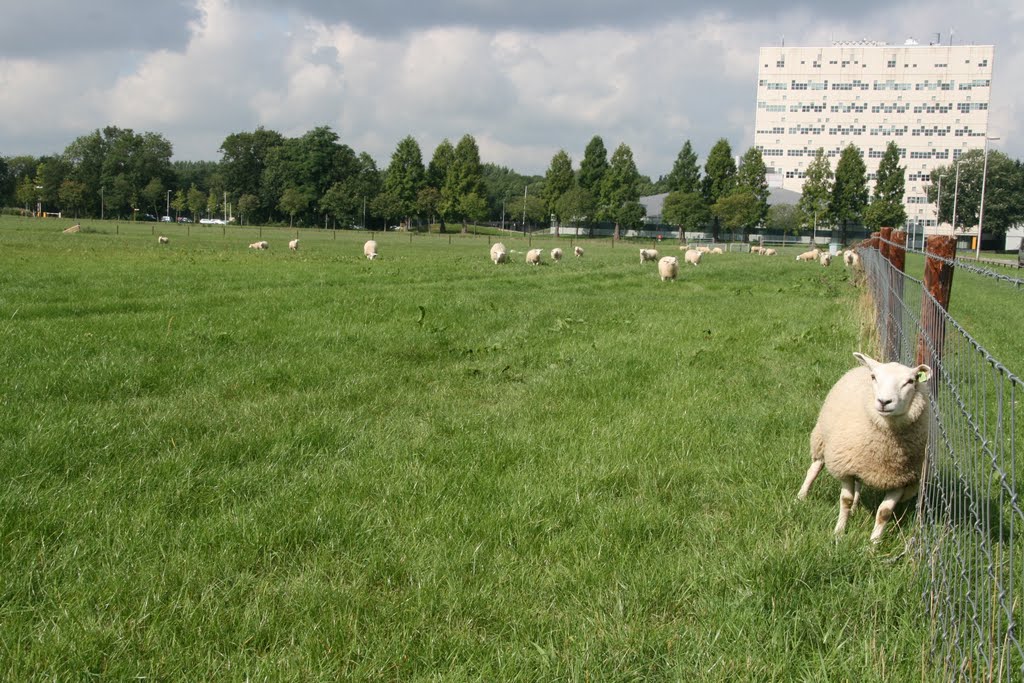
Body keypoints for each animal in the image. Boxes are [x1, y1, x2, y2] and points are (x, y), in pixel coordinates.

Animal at [798, 356, 937, 540]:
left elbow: (884, 512)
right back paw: (801, 497)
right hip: (822, 439)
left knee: (859, 484)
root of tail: (865, 365)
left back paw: (855, 508)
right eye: (874, 378)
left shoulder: (902, 479)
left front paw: (874, 542)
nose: (884, 402)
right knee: (814, 469)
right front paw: (839, 533)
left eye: (910, 381)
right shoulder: (845, 467)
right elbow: (845, 500)